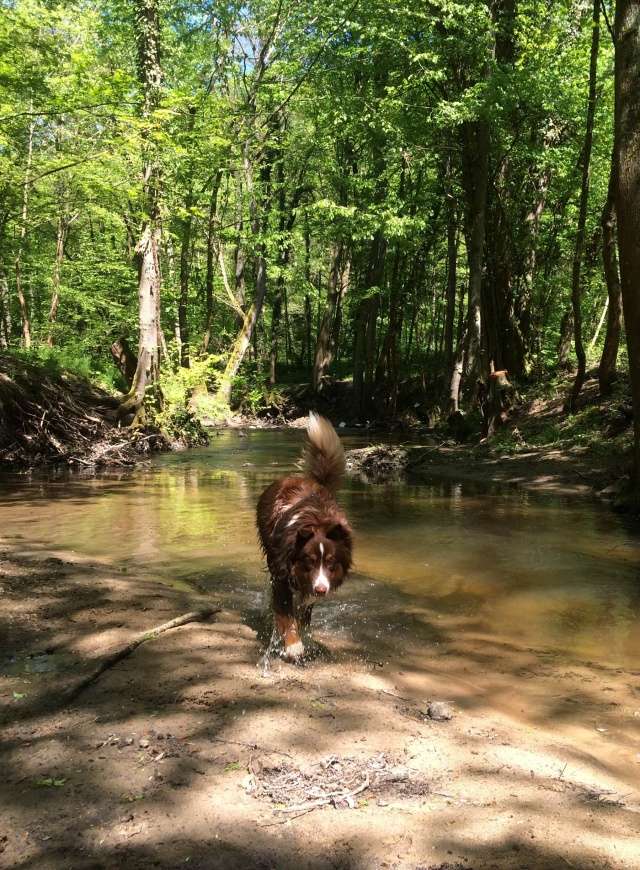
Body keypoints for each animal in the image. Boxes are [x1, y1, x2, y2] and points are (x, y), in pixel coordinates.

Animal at [256, 414, 356, 660]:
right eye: (308, 561)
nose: (321, 590)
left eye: (331, 562)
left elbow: (303, 614)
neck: (317, 523)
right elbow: (285, 614)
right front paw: (293, 644)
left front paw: (305, 638)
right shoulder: (281, 576)